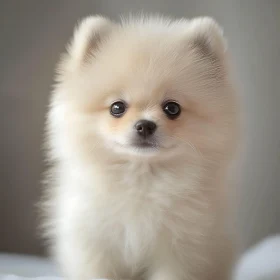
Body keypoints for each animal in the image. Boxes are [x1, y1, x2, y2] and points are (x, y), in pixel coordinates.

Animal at [42, 14, 238, 280]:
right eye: (117, 107)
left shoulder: (180, 248)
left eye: (172, 108)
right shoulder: (93, 241)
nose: (145, 125)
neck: (142, 179)